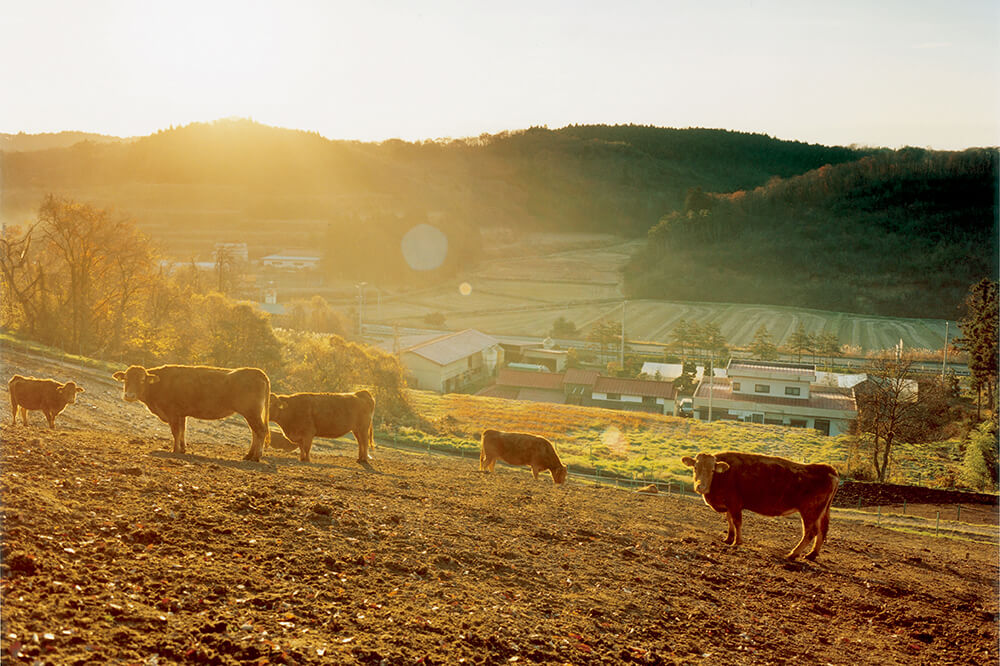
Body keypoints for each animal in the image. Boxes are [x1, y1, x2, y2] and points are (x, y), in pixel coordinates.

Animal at [113, 364, 272, 462]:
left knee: (260, 431)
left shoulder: (173, 413)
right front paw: (183, 449)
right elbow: (182, 430)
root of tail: (255, 371)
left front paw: (175, 450)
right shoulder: (181, 414)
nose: (129, 395)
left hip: (251, 412)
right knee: (255, 432)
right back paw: (248, 455)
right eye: (125, 379)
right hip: (251, 413)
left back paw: (256, 457)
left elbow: (176, 432)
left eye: (142, 380)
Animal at [684, 448, 840, 556]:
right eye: (695, 468)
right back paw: (811, 555)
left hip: (810, 511)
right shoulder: (728, 505)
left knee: (810, 532)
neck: (723, 476)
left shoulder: (735, 503)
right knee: (823, 530)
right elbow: (729, 521)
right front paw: (728, 539)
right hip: (823, 511)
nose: (701, 487)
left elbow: (737, 522)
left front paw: (736, 542)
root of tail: (827, 469)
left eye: (712, 470)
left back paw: (792, 554)